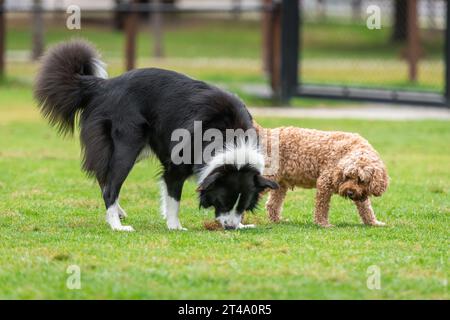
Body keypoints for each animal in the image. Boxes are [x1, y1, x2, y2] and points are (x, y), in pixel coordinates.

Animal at [34, 40, 278, 230]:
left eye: (243, 205)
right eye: (224, 201)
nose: (230, 227)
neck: (228, 138)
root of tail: (102, 85)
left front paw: (243, 223)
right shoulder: (176, 165)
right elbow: (173, 196)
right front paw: (175, 226)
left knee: (105, 177)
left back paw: (118, 213)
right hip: (128, 145)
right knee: (111, 185)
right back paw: (117, 225)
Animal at [256, 123, 390, 228]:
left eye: (361, 180)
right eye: (347, 176)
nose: (349, 192)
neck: (349, 150)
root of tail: (267, 133)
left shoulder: (360, 192)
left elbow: (366, 208)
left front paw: (373, 222)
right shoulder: (325, 183)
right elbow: (322, 207)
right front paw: (323, 224)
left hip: (280, 183)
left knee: (272, 204)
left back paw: (277, 220)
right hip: (269, 177)